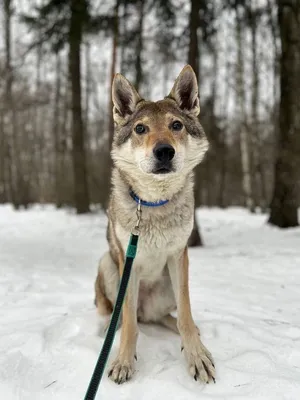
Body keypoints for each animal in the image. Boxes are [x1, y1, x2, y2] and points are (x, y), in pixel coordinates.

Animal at [95, 65, 214, 384]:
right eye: (140, 129)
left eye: (176, 125)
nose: (164, 151)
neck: (153, 203)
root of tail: (146, 310)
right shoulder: (128, 262)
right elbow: (129, 324)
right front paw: (123, 361)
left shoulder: (178, 255)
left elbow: (186, 314)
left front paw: (196, 355)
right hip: (108, 265)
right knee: (124, 316)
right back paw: (108, 331)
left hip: (169, 286)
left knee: (165, 317)